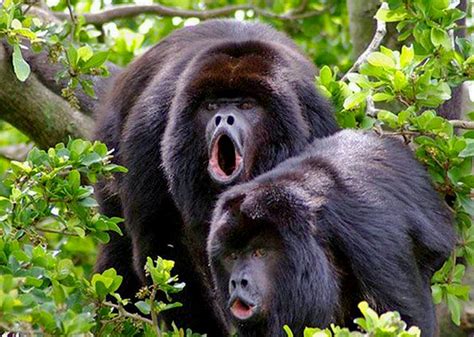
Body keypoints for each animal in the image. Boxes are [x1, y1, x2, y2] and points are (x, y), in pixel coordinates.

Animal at [94, 19, 336, 334]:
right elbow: (161, 242)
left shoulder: (315, 117)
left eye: (246, 105)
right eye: (211, 106)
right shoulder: (151, 126)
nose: (224, 117)